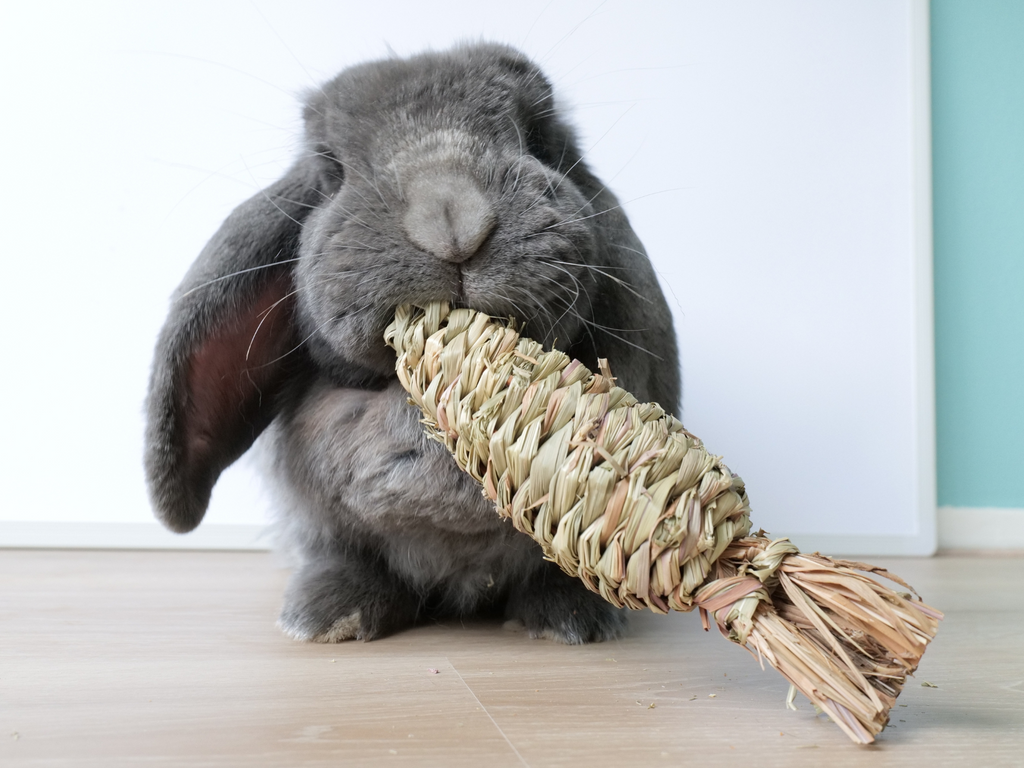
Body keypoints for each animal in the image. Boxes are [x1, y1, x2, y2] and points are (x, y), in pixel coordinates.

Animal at [144, 40, 679, 643]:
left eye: (540, 136)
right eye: (330, 168)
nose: (451, 219)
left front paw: (569, 619)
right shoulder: (324, 523)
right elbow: (345, 556)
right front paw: (327, 617)